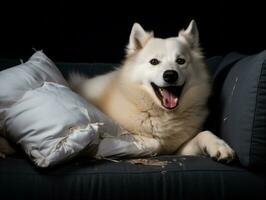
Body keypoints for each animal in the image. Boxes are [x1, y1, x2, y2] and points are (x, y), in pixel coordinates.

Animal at [70, 20, 235, 162]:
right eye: (154, 62)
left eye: (180, 61)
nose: (170, 75)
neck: (162, 115)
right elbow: (154, 143)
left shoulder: (178, 150)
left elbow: (204, 133)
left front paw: (219, 146)